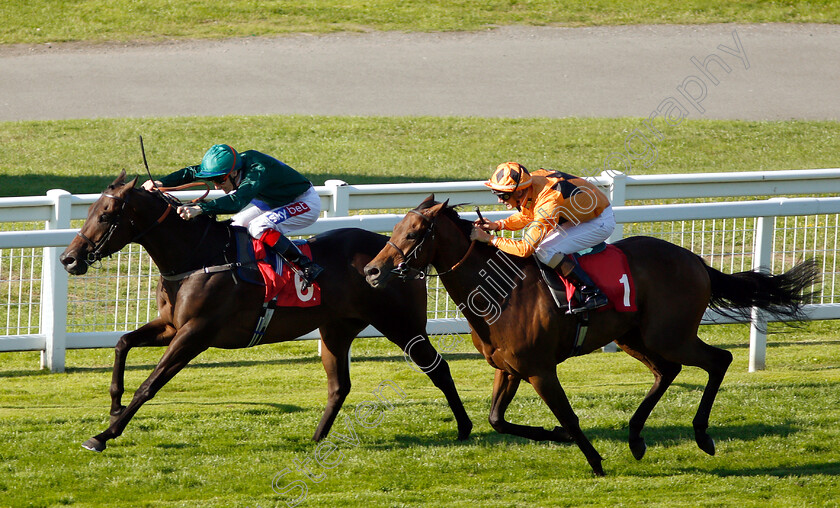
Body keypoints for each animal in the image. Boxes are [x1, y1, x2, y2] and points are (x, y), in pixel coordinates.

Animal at [60, 175, 472, 452]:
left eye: (106, 214)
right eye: (90, 209)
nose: (69, 258)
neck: (197, 256)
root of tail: (397, 257)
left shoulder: (196, 333)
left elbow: (150, 384)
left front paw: (104, 435)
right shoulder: (171, 326)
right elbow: (122, 342)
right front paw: (114, 406)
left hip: (401, 324)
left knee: (439, 368)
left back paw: (465, 428)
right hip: (337, 330)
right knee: (339, 386)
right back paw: (316, 439)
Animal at [362, 195, 820, 476]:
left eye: (414, 233)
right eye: (396, 227)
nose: (371, 270)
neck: (499, 293)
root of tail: (696, 261)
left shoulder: (540, 370)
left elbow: (567, 415)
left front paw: (594, 460)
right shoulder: (508, 368)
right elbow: (497, 420)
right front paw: (559, 438)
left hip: (669, 334)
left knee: (718, 360)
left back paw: (702, 436)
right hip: (637, 337)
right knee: (667, 372)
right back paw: (636, 438)